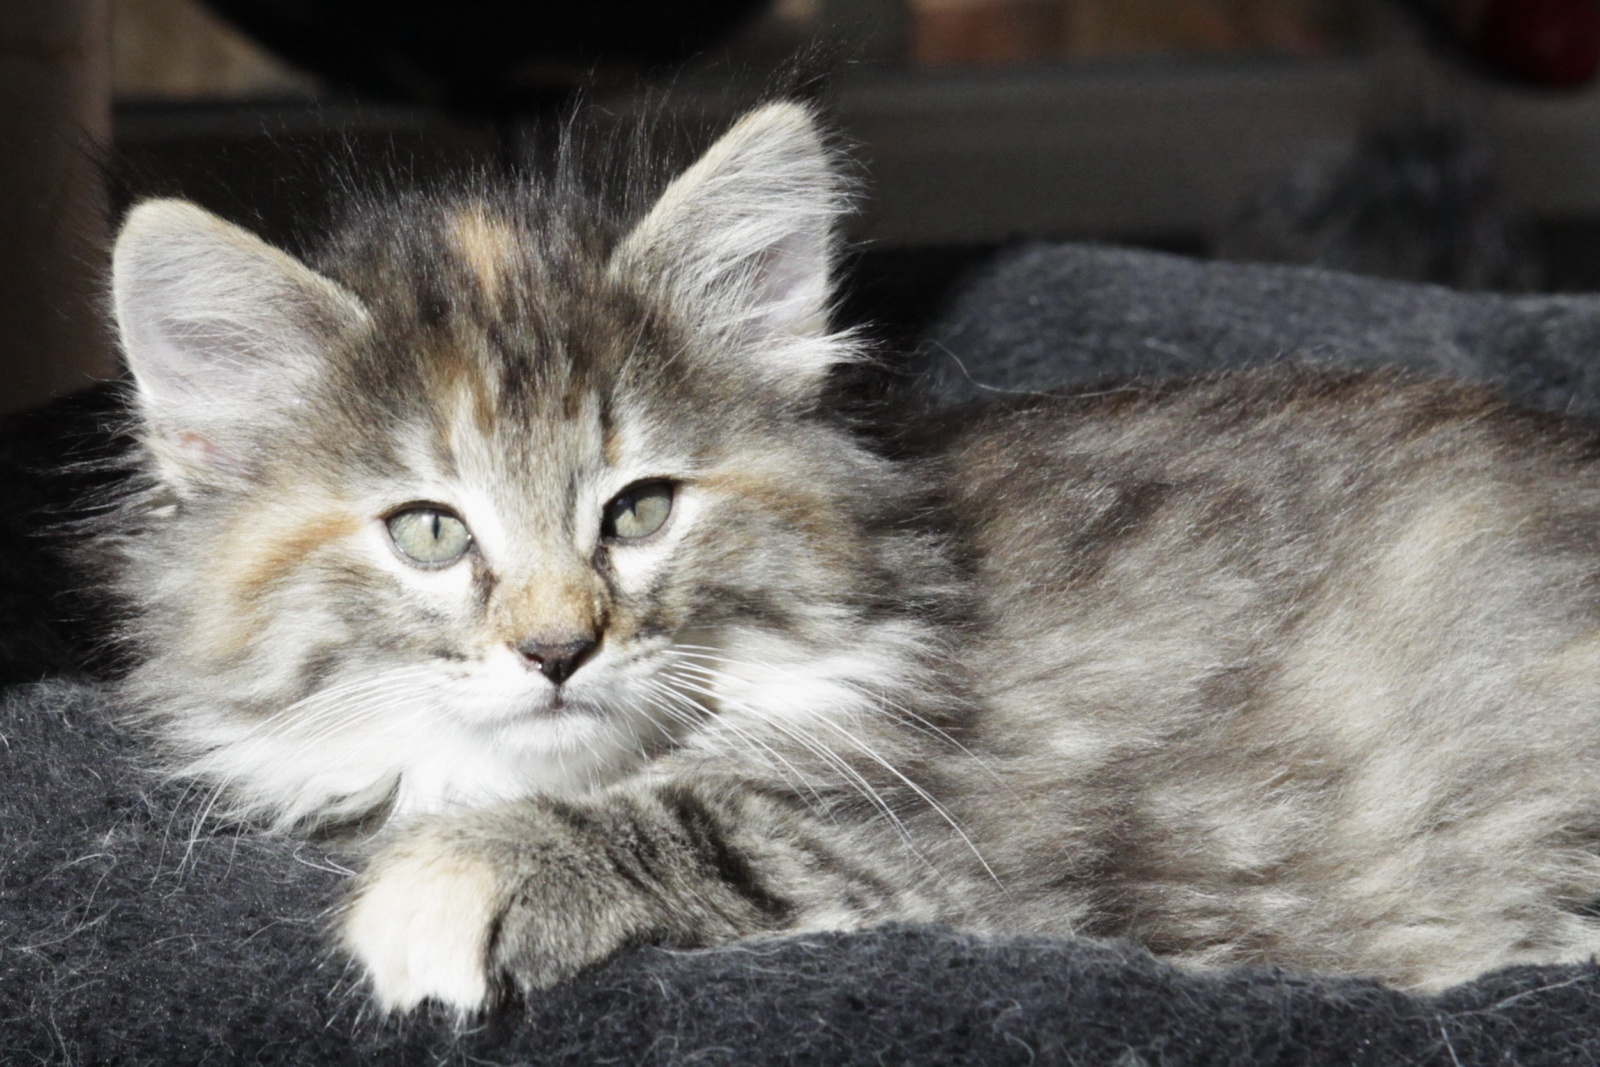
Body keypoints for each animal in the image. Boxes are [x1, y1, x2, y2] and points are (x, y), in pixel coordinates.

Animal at [96, 102, 1600, 1017]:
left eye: (639, 510)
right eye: (428, 530)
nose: (558, 645)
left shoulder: (953, 824)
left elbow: (714, 812)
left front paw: (445, 880)